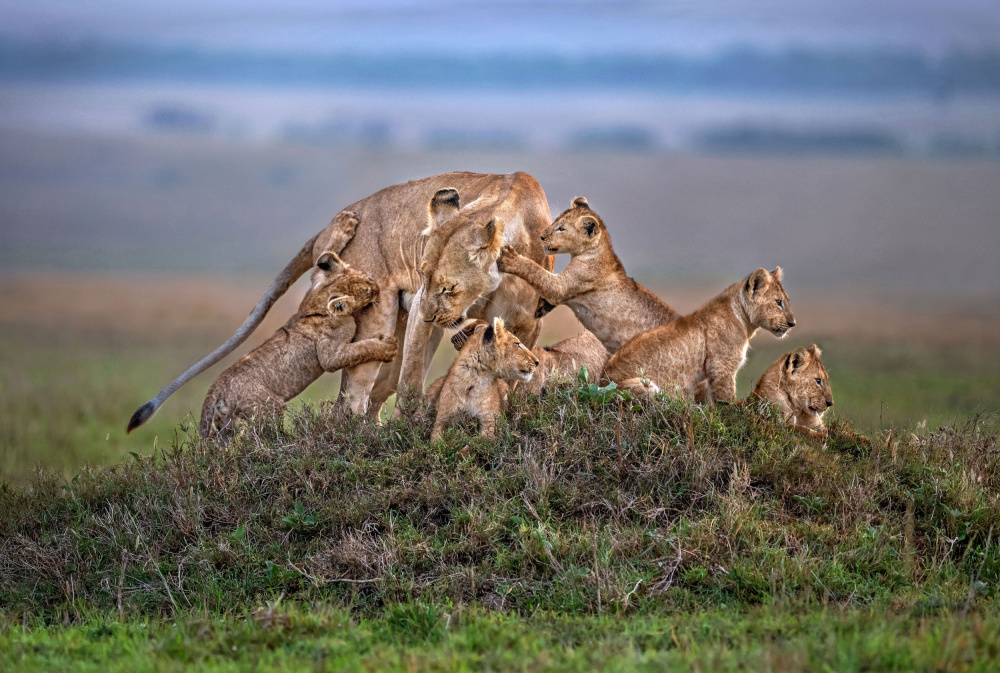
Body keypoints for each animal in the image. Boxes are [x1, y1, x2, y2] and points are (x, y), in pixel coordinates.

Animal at [199, 252, 397, 442]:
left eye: (368, 278)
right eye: (367, 291)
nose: (377, 288)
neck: (317, 303)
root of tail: (215, 388)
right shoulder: (330, 356)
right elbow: (361, 348)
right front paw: (388, 347)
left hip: (225, 425)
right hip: (268, 407)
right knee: (261, 436)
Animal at [497, 196, 678, 353]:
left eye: (561, 228)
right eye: (555, 222)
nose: (541, 236)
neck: (593, 250)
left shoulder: (563, 286)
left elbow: (537, 271)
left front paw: (510, 258)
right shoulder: (566, 290)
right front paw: (541, 307)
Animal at [603, 267, 796, 402]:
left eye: (787, 301)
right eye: (778, 302)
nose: (793, 323)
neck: (745, 322)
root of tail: (601, 383)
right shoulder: (722, 367)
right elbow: (727, 405)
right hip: (644, 386)